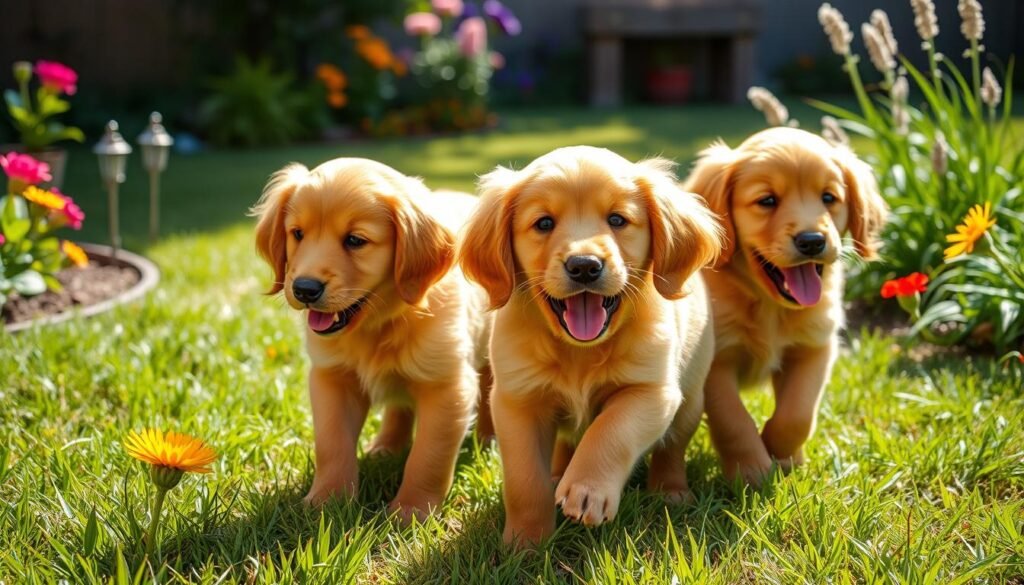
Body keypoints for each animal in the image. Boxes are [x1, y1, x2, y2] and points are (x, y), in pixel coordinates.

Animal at [251, 158, 491, 522]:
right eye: (298, 234)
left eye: (355, 240)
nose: (304, 289)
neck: (376, 324)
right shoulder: (332, 378)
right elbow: (332, 443)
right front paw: (327, 501)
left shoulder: (447, 386)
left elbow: (428, 457)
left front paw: (411, 511)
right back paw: (385, 448)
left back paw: (488, 441)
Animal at [460, 147, 724, 549]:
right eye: (544, 223)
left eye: (617, 220)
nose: (584, 266)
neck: (579, 351)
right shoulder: (517, 400)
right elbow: (524, 479)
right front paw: (525, 542)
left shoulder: (651, 391)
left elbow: (611, 431)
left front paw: (587, 490)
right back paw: (558, 474)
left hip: (691, 398)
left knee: (672, 447)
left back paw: (671, 492)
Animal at [684, 128, 892, 485]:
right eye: (767, 200)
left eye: (828, 198)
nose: (812, 241)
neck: (769, 305)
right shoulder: (715, 361)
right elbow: (732, 420)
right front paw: (751, 470)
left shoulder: (813, 348)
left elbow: (798, 414)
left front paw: (781, 452)